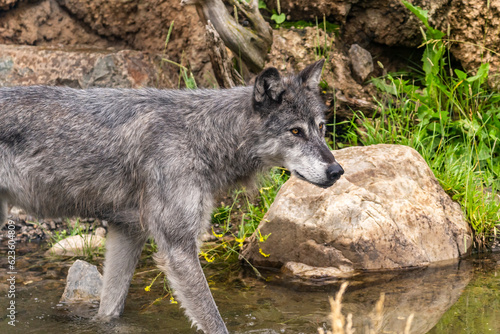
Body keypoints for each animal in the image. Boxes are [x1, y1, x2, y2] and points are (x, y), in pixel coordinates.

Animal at [0, 60, 344, 334]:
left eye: (320, 127)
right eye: (295, 131)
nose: (337, 170)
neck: (202, 135)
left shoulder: (127, 231)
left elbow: (109, 311)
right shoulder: (178, 249)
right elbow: (214, 322)